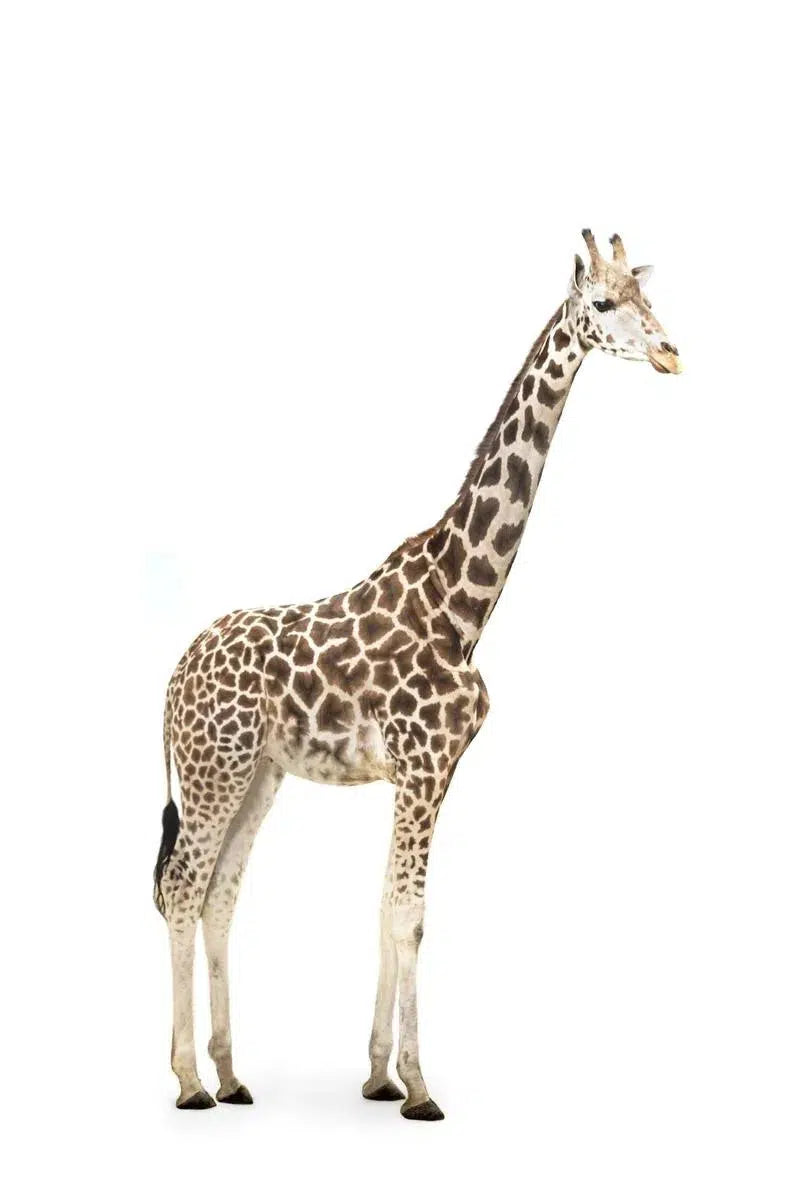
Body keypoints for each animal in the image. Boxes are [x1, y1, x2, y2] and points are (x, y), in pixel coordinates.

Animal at [154, 230, 681, 1118]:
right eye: (603, 304)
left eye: (649, 300)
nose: (671, 352)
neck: (462, 606)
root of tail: (172, 676)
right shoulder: (423, 764)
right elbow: (408, 917)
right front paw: (419, 1088)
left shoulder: (426, 772)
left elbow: (389, 911)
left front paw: (377, 1075)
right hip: (212, 766)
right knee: (182, 888)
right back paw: (190, 1082)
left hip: (258, 772)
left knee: (221, 893)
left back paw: (230, 1074)